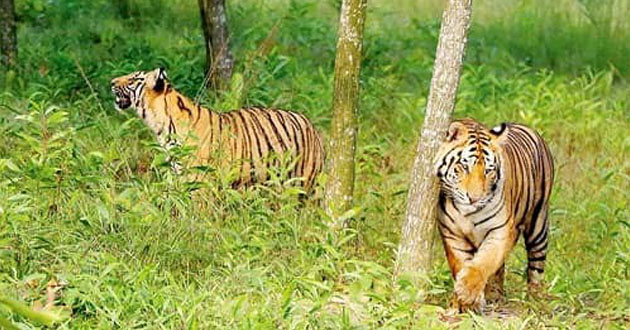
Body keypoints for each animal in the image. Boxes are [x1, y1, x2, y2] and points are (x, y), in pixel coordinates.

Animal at [110, 68, 326, 189]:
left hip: (307, 183)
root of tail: (311, 125)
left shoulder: (199, 179)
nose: (111, 82)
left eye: (133, 79)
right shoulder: (177, 173)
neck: (159, 125)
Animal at [436, 118, 556, 312]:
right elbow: (461, 264)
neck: (469, 213)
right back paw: (495, 295)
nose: (474, 199)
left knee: (536, 265)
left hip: (538, 225)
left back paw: (535, 299)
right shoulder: (452, 234)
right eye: (464, 167)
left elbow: (485, 261)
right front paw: (464, 303)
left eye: (488, 170)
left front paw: (467, 290)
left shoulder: (501, 231)